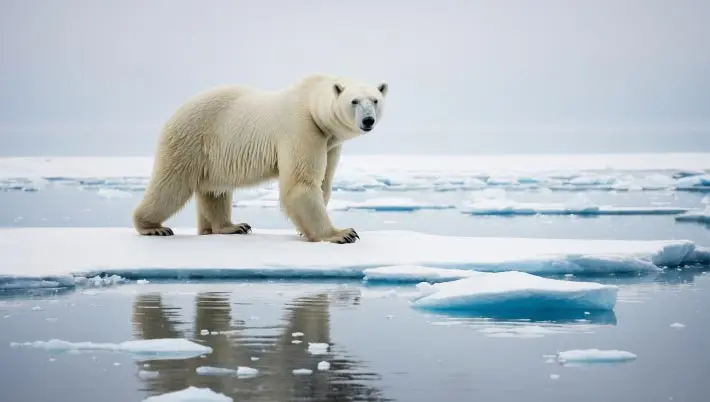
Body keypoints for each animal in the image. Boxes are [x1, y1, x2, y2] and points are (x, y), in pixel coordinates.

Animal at [131, 74, 388, 244]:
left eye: (375, 100)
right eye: (354, 101)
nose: (368, 120)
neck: (310, 101)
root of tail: (175, 113)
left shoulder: (329, 143)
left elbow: (323, 183)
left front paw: (304, 230)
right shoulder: (302, 129)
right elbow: (301, 183)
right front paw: (342, 233)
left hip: (212, 155)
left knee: (214, 191)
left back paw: (230, 226)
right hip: (191, 140)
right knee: (171, 186)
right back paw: (153, 227)